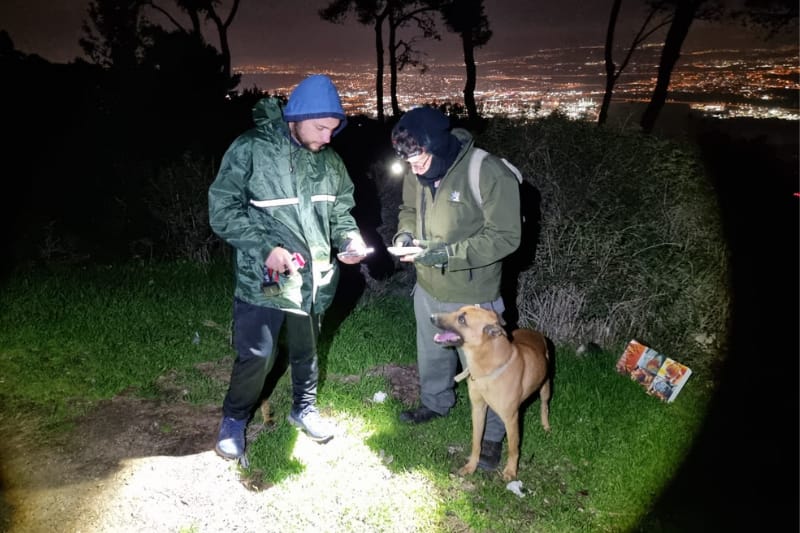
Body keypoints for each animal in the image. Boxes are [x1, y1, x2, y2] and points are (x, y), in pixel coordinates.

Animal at [432, 304, 552, 482]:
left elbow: (513, 448)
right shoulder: (478, 409)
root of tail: (535, 331)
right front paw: (471, 466)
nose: (432, 317)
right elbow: (476, 442)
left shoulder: (511, 418)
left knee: (544, 406)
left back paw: (546, 426)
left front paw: (511, 471)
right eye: (457, 310)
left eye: (462, 319)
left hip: (545, 386)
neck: (488, 368)